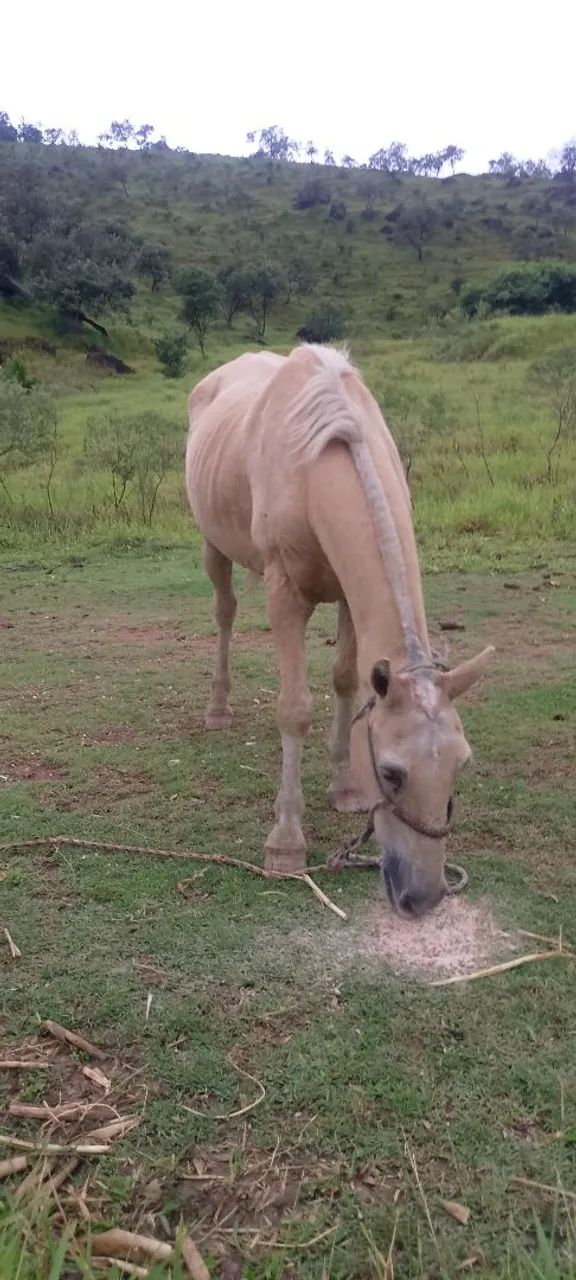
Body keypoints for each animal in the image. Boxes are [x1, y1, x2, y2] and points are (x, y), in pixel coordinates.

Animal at [186, 344, 493, 916]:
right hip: (213, 546)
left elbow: (347, 681)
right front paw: (285, 841)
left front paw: (345, 788)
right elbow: (295, 709)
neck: (314, 468)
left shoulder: (349, 598)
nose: (423, 897)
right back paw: (217, 709)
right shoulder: (285, 593)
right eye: (392, 773)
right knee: (225, 612)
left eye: (459, 765)